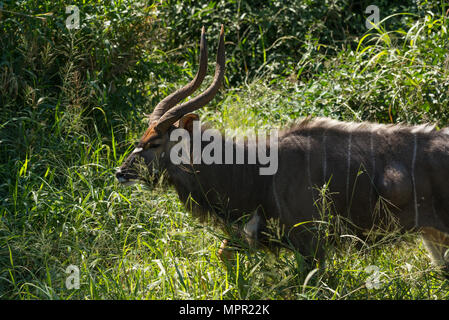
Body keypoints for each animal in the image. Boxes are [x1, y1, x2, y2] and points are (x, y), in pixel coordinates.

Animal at [116, 26, 448, 274]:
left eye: (154, 142)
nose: (121, 172)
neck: (252, 170)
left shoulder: (311, 243)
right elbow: (224, 255)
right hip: (432, 235)